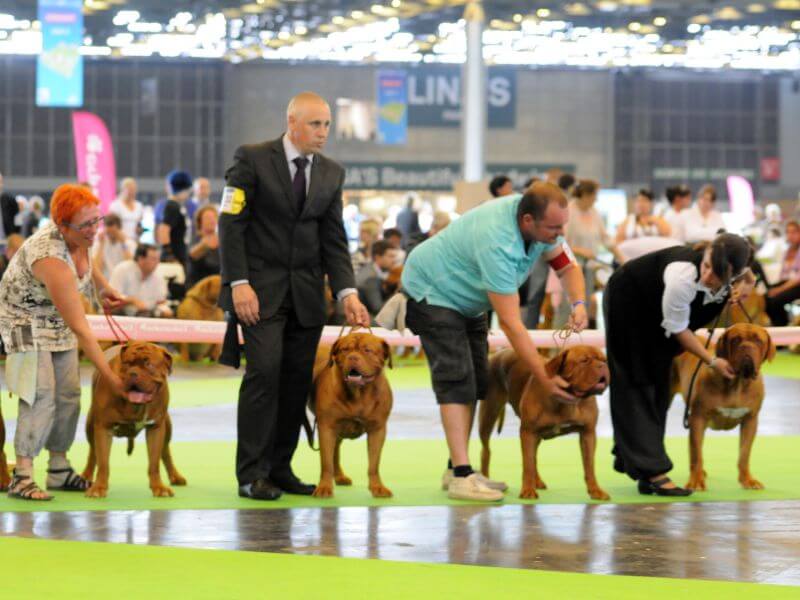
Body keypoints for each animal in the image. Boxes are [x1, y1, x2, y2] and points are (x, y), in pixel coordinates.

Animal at [82, 342, 186, 496]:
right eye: (127, 364)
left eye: (149, 364)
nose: (133, 373)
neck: (136, 406)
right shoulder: (103, 428)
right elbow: (103, 463)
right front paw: (99, 488)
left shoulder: (155, 429)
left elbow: (154, 462)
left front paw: (158, 487)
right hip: (90, 424)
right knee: (93, 453)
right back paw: (86, 476)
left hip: (166, 426)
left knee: (166, 452)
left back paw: (175, 476)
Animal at [308, 332, 392, 496]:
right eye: (345, 349)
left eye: (367, 350)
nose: (353, 357)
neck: (359, 395)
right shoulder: (326, 427)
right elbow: (326, 462)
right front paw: (324, 487)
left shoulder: (377, 430)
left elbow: (374, 463)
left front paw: (377, 487)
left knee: (336, 450)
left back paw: (339, 476)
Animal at [482, 344, 612, 500]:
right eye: (584, 361)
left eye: (604, 360)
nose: (602, 366)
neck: (566, 402)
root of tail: (499, 352)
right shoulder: (528, 432)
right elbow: (527, 464)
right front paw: (527, 490)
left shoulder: (588, 433)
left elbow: (589, 465)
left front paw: (595, 490)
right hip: (489, 413)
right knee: (486, 450)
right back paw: (485, 479)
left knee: (534, 457)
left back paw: (537, 481)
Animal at [668, 322, 776, 490]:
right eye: (736, 340)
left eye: (758, 341)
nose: (746, 347)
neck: (737, 384)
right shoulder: (698, 419)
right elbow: (696, 454)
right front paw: (696, 481)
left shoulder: (750, 420)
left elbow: (744, 454)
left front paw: (747, 480)